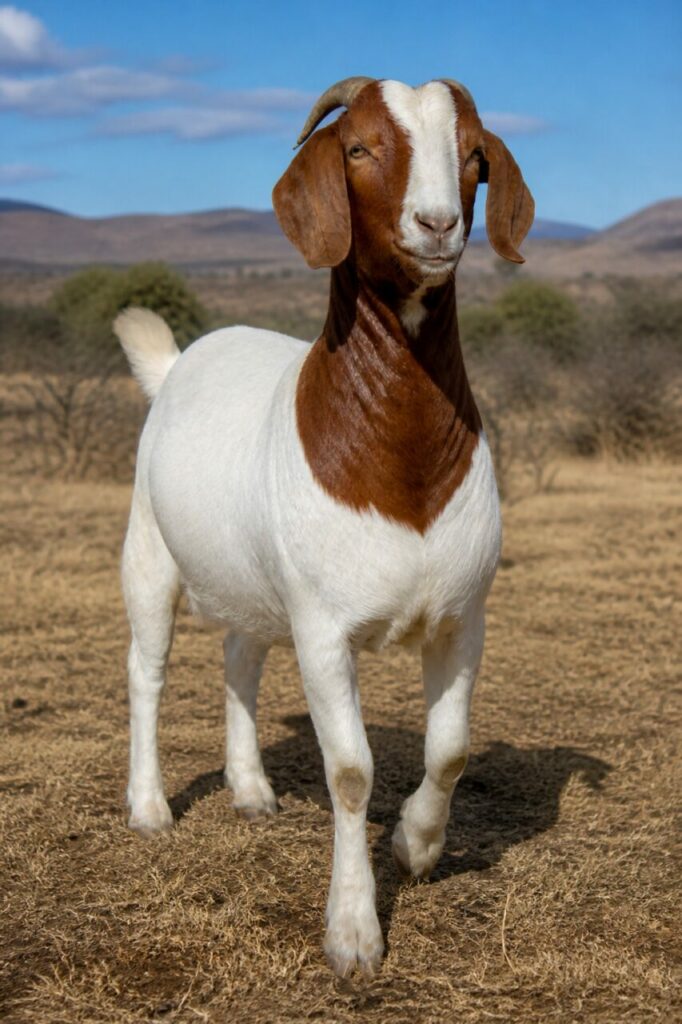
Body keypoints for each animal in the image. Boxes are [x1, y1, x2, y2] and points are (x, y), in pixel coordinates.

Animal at [114, 77, 534, 977]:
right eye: (360, 148)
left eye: (473, 155)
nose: (436, 225)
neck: (401, 466)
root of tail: (178, 362)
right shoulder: (323, 628)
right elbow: (348, 771)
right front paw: (352, 932)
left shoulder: (463, 618)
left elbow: (450, 749)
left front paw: (416, 845)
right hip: (149, 554)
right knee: (148, 671)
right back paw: (150, 807)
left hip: (251, 581)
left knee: (239, 659)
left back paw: (249, 790)